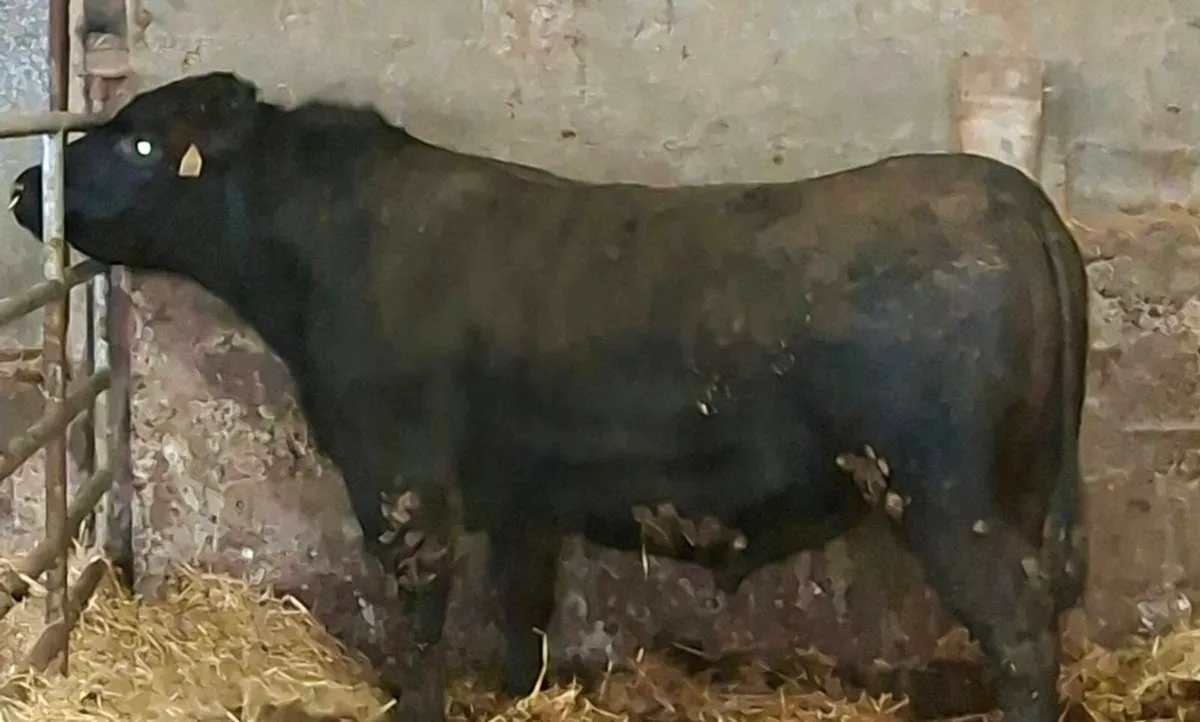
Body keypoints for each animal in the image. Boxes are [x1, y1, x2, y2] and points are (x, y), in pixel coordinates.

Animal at [8, 71, 1089, 722]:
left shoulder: (401, 480)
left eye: (143, 146)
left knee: (1021, 634)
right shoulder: (524, 498)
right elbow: (521, 618)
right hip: (1014, 491)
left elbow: (423, 618)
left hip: (949, 498)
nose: (26, 184)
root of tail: (1012, 196)